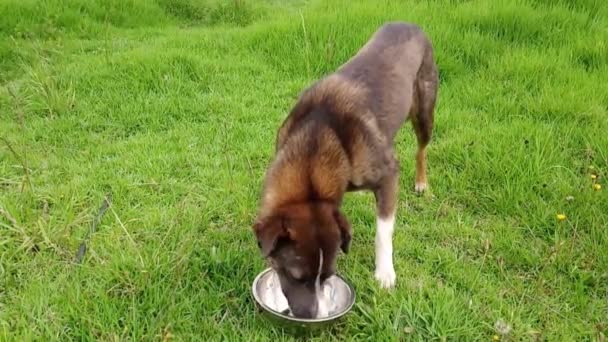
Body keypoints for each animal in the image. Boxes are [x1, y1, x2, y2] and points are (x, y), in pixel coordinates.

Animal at [251, 22, 436, 320]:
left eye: (329, 275)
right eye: (295, 276)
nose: (314, 316)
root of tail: (410, 24)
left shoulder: (388, 174)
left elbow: (384, 230)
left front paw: (385, 273)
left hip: (424, 108)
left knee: (422, 148)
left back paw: (421, 182)